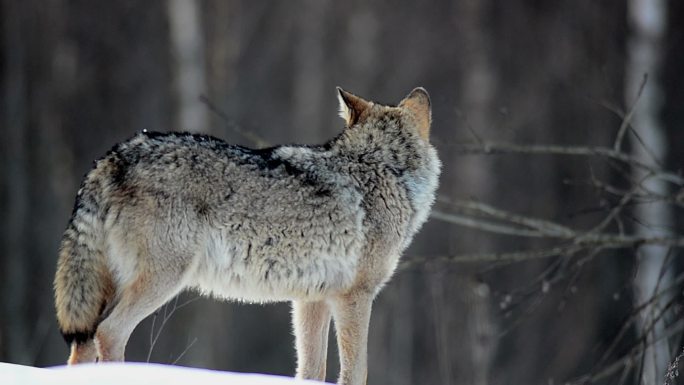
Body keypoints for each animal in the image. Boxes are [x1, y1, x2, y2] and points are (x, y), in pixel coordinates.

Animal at [52, 87, 438, 384]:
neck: (385, 169)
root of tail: (114, 156)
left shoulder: (310, 299)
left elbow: (311, 369)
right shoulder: (355, 297)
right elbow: (356, 372)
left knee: (84, 344)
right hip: (164, 280)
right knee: (109, 332)